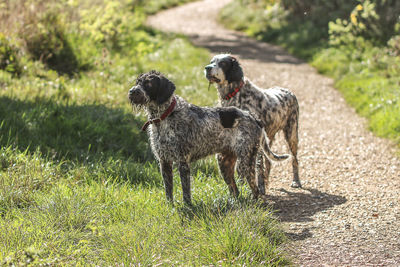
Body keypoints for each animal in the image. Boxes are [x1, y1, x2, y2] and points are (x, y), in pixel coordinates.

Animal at [128, 70, 288, 205]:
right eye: (137, 82)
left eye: (149, 83)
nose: (132, 91)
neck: (164, 116)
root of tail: (254, 118)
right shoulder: (164, 162)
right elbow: (169, 191)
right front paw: (170, 207)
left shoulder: (182, 162)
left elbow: (186, 192)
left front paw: (188, 208)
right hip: (224, 163)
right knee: (235, 191)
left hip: (245, 163)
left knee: (255, 190)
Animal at [205, 55, 302, 193]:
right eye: (211, 62)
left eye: (223, 63)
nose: (207, 68)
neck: (235, 94)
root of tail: (288, 91)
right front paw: (245, 185)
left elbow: (257, 166)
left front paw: (259, 187)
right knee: (269, 162)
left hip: (291, 135)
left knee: (294, 159)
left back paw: (296, 181)